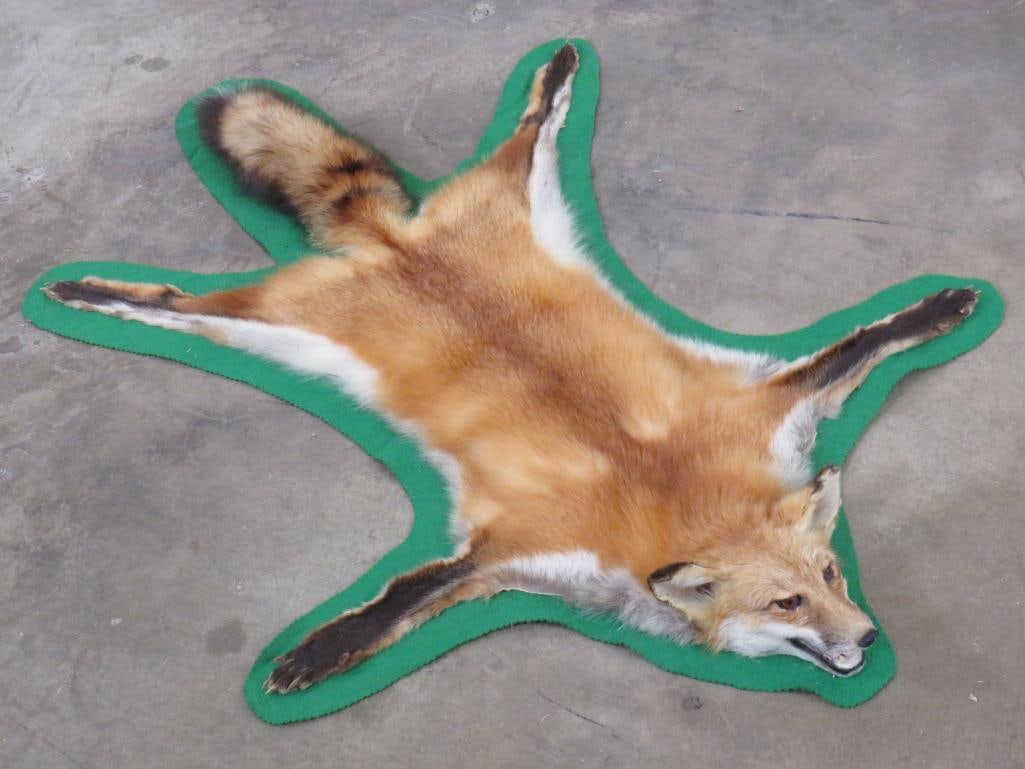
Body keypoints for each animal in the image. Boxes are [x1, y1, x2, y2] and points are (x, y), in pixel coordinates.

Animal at [44, 44, 978, 694]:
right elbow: (402, 598)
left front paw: (939, 309)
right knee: (175, 302)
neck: (682, 495)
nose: (867, 638)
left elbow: (853, 347)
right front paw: (316, 651)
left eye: (830, 572)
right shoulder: (518, 543)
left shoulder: (761, 410)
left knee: (526, 137)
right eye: (786, 603)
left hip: (514, 202)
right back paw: (87, 289)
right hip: (277, 325)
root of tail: (391, 239)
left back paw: (557, 70)